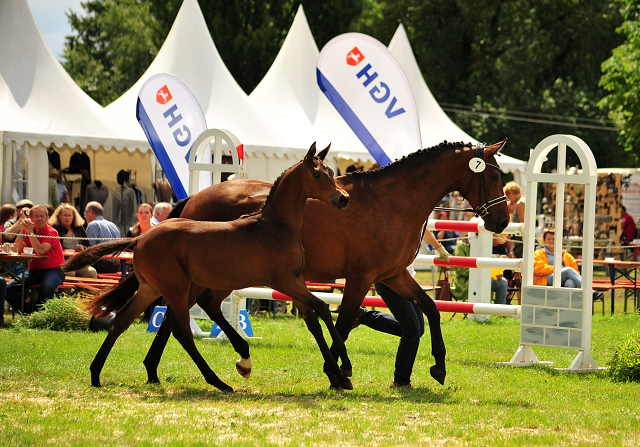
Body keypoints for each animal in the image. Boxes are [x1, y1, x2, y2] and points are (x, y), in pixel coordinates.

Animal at [65, 144, 352, 392]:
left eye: (331, 172)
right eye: (316, 174)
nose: (343, 198)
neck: (276, 226)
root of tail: (141, 238)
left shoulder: (296, 281)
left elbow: (315, 318)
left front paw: (338, 374)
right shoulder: (284, 281)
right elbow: (323, 308)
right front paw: (344, 369)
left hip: (152, 289)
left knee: (122, 321)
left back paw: (97, 374)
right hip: (178, 288)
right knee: (181, 330)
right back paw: (218, 381)